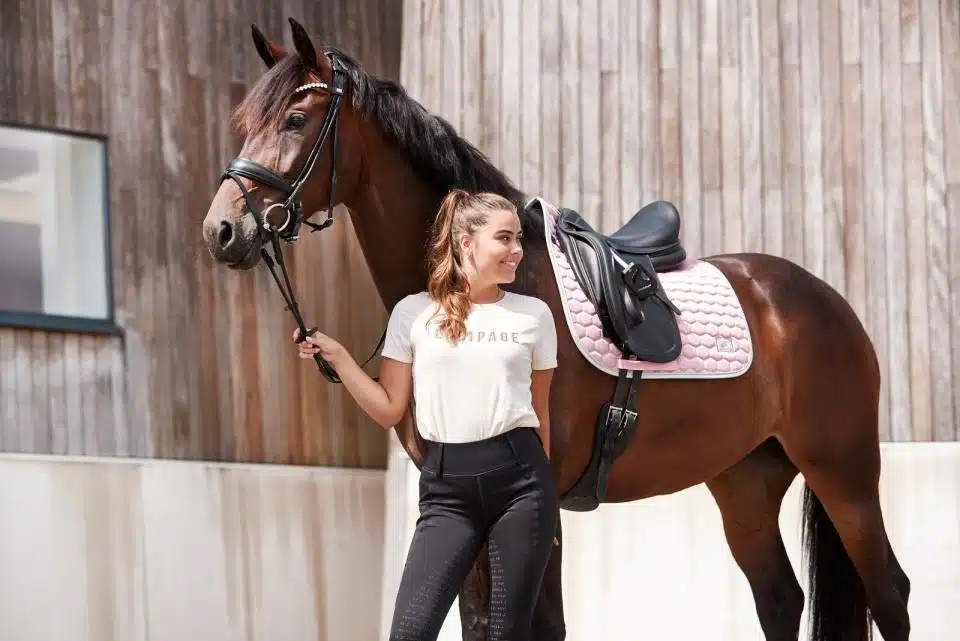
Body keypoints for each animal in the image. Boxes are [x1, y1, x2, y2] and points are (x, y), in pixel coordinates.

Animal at [200, 19, 911, 641]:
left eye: (295, 120)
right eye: (245, 123)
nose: (221, 231)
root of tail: (825, 301)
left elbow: (536, 625)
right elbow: (478, 623)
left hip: (845, 473)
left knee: (890, 594)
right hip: (745, 480)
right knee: (780, 599)